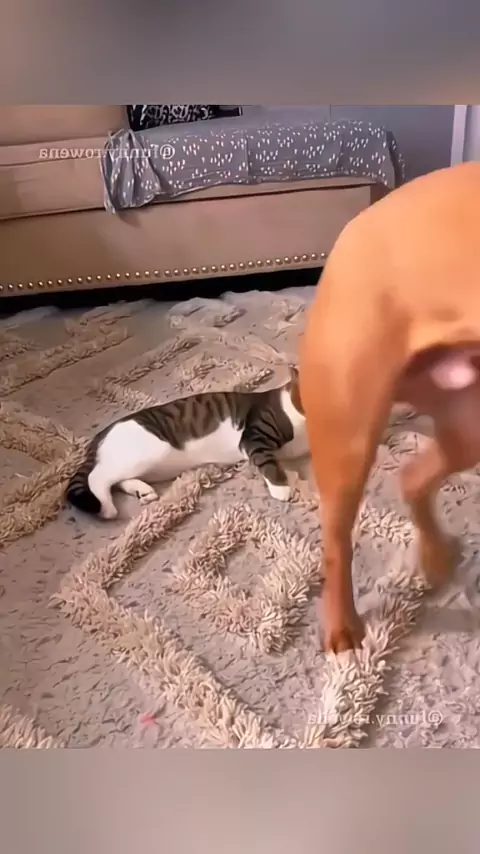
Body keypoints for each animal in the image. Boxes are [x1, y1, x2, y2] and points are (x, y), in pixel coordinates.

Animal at [65, 367, 308, 520]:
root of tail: (101, 433)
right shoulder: (254, 436)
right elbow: (267, 462)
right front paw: (282, 488)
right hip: (148, 452)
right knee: (98, 477)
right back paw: (107, 508)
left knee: (116, 480)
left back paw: (141, 491)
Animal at [298, 161, 480, 654]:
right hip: (349, 436)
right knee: (336, 540)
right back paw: (343, 626)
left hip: (469, 424)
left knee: (413, 478)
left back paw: (436, 558)